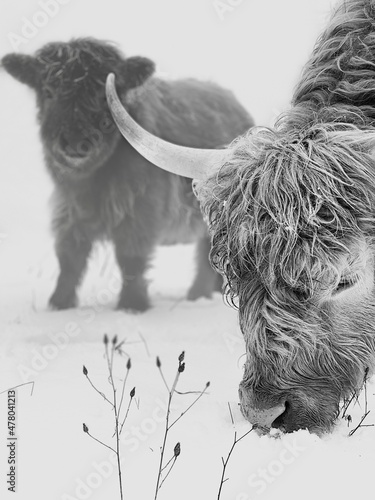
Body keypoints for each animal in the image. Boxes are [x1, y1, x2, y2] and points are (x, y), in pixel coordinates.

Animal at [1, 39, 254, 310]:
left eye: (101, 96)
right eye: (48, 91)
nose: (76, 142)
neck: (92, 181)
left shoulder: (139, 210)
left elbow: (130, 258)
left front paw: (132, 305)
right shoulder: (69, 210)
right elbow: (69, 257)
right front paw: (59, 304)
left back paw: (197, 295)